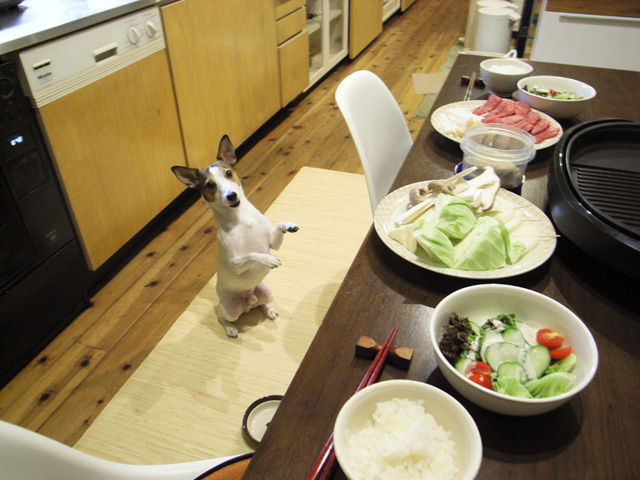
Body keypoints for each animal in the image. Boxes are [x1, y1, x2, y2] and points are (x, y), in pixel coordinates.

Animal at [171, 135, 298, 338]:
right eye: (210, 185)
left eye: (229, 173)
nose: (231, 195)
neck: (241, 219)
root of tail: (248, 302)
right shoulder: (236, 263)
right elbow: (252, 254)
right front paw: (268, 260)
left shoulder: (271, 242)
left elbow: (278, 228)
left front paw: (289, 225)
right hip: (230, 308)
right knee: (221, 317)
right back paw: (230, 328)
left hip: (266, 291)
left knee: (262, 304)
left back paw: (268, 310)